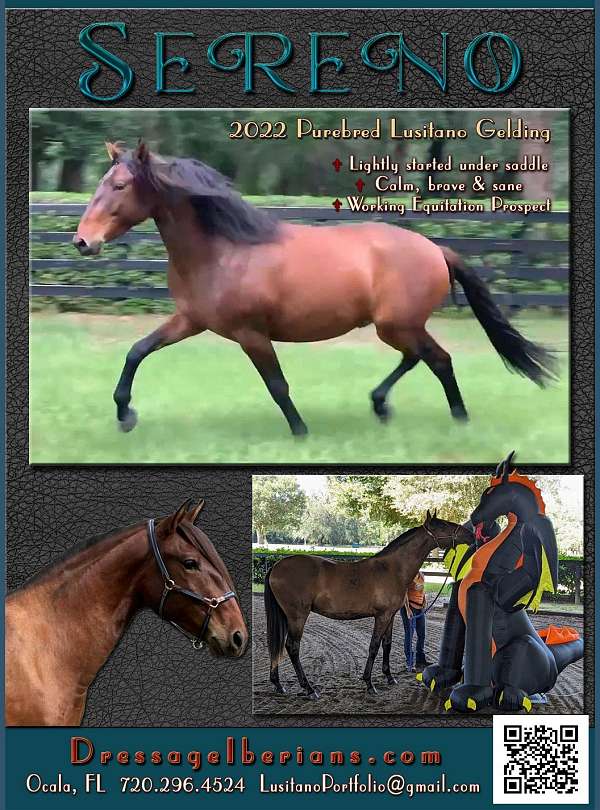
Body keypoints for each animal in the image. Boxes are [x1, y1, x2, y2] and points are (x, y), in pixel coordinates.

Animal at [73, 140, 557, 437]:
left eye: (119, 186)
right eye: (100, 184)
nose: (82, 241)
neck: (226, 249)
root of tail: (436, 249)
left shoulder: (251, 334)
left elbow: (277, 386)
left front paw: (300, 431)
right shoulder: (190, 320)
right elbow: (137, 351)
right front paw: (125, 414)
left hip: (396, 324)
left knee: (437, 359)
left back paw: (456, 418)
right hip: (397, 326)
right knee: (421, 357)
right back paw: (383, 405)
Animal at [263, 513, 473, 698]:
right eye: (443, 525)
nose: (470, 534)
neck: (391, 569)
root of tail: (276, 566)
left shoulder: (390, 616)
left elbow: (387, 645)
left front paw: (389, 677)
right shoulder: (381, 616)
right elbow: (374, 646)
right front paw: (369, 684)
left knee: (278, 647)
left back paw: (278, 685)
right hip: (297, 616)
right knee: (292, 647)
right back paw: (308, 688)